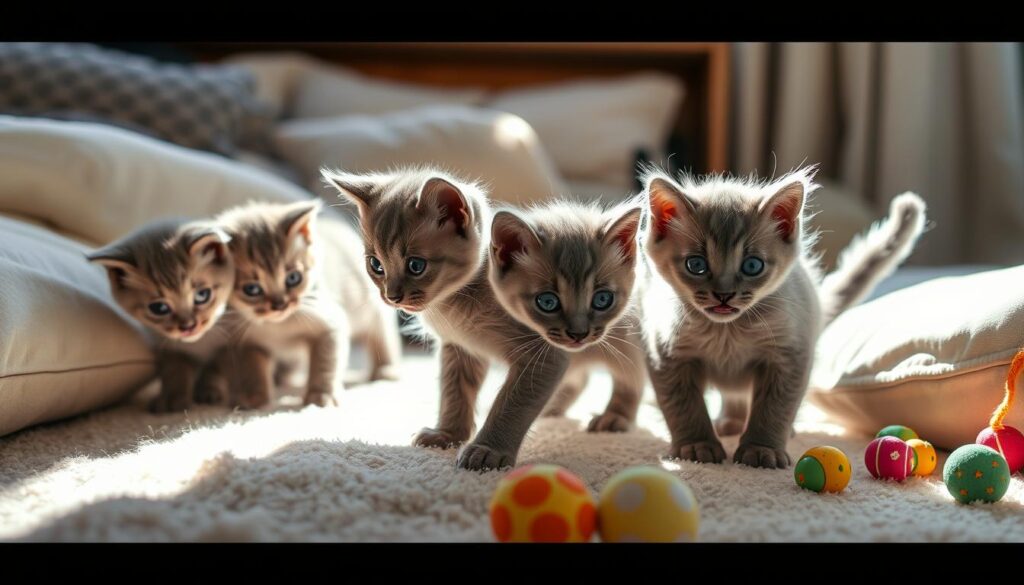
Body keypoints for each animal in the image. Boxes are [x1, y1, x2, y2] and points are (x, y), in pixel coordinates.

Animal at [86, 217, 234, 413]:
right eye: (159, 308)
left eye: (202, 295)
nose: (188, 327)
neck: (199, 343)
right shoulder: (167, 346)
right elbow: (175, 370)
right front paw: (173, 398)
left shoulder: (229, 341)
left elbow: (214, 367)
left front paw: (209, 390)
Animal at [638, 166, 929, 469]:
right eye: (696, 265)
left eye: (752, 266)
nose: (724, 295)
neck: (727, 333)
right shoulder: (667, 355)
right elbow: (682, 406)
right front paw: (697, 446)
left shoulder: (790, 354)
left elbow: (774, 408)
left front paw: (761, 449)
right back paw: (730, 422)